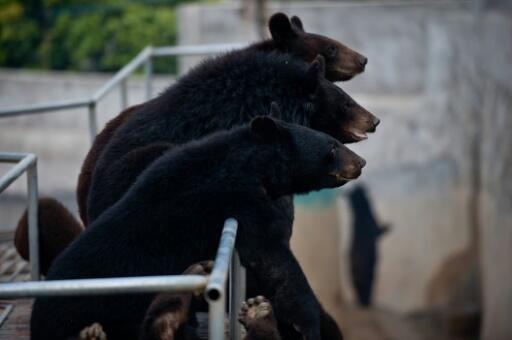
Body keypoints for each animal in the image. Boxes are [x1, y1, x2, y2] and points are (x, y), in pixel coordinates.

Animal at [30, 115, 364, 338]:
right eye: (332, 147)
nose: (360, 162)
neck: (255, 165)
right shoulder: (240, 201)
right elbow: (274, 259)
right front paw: (307, 323)